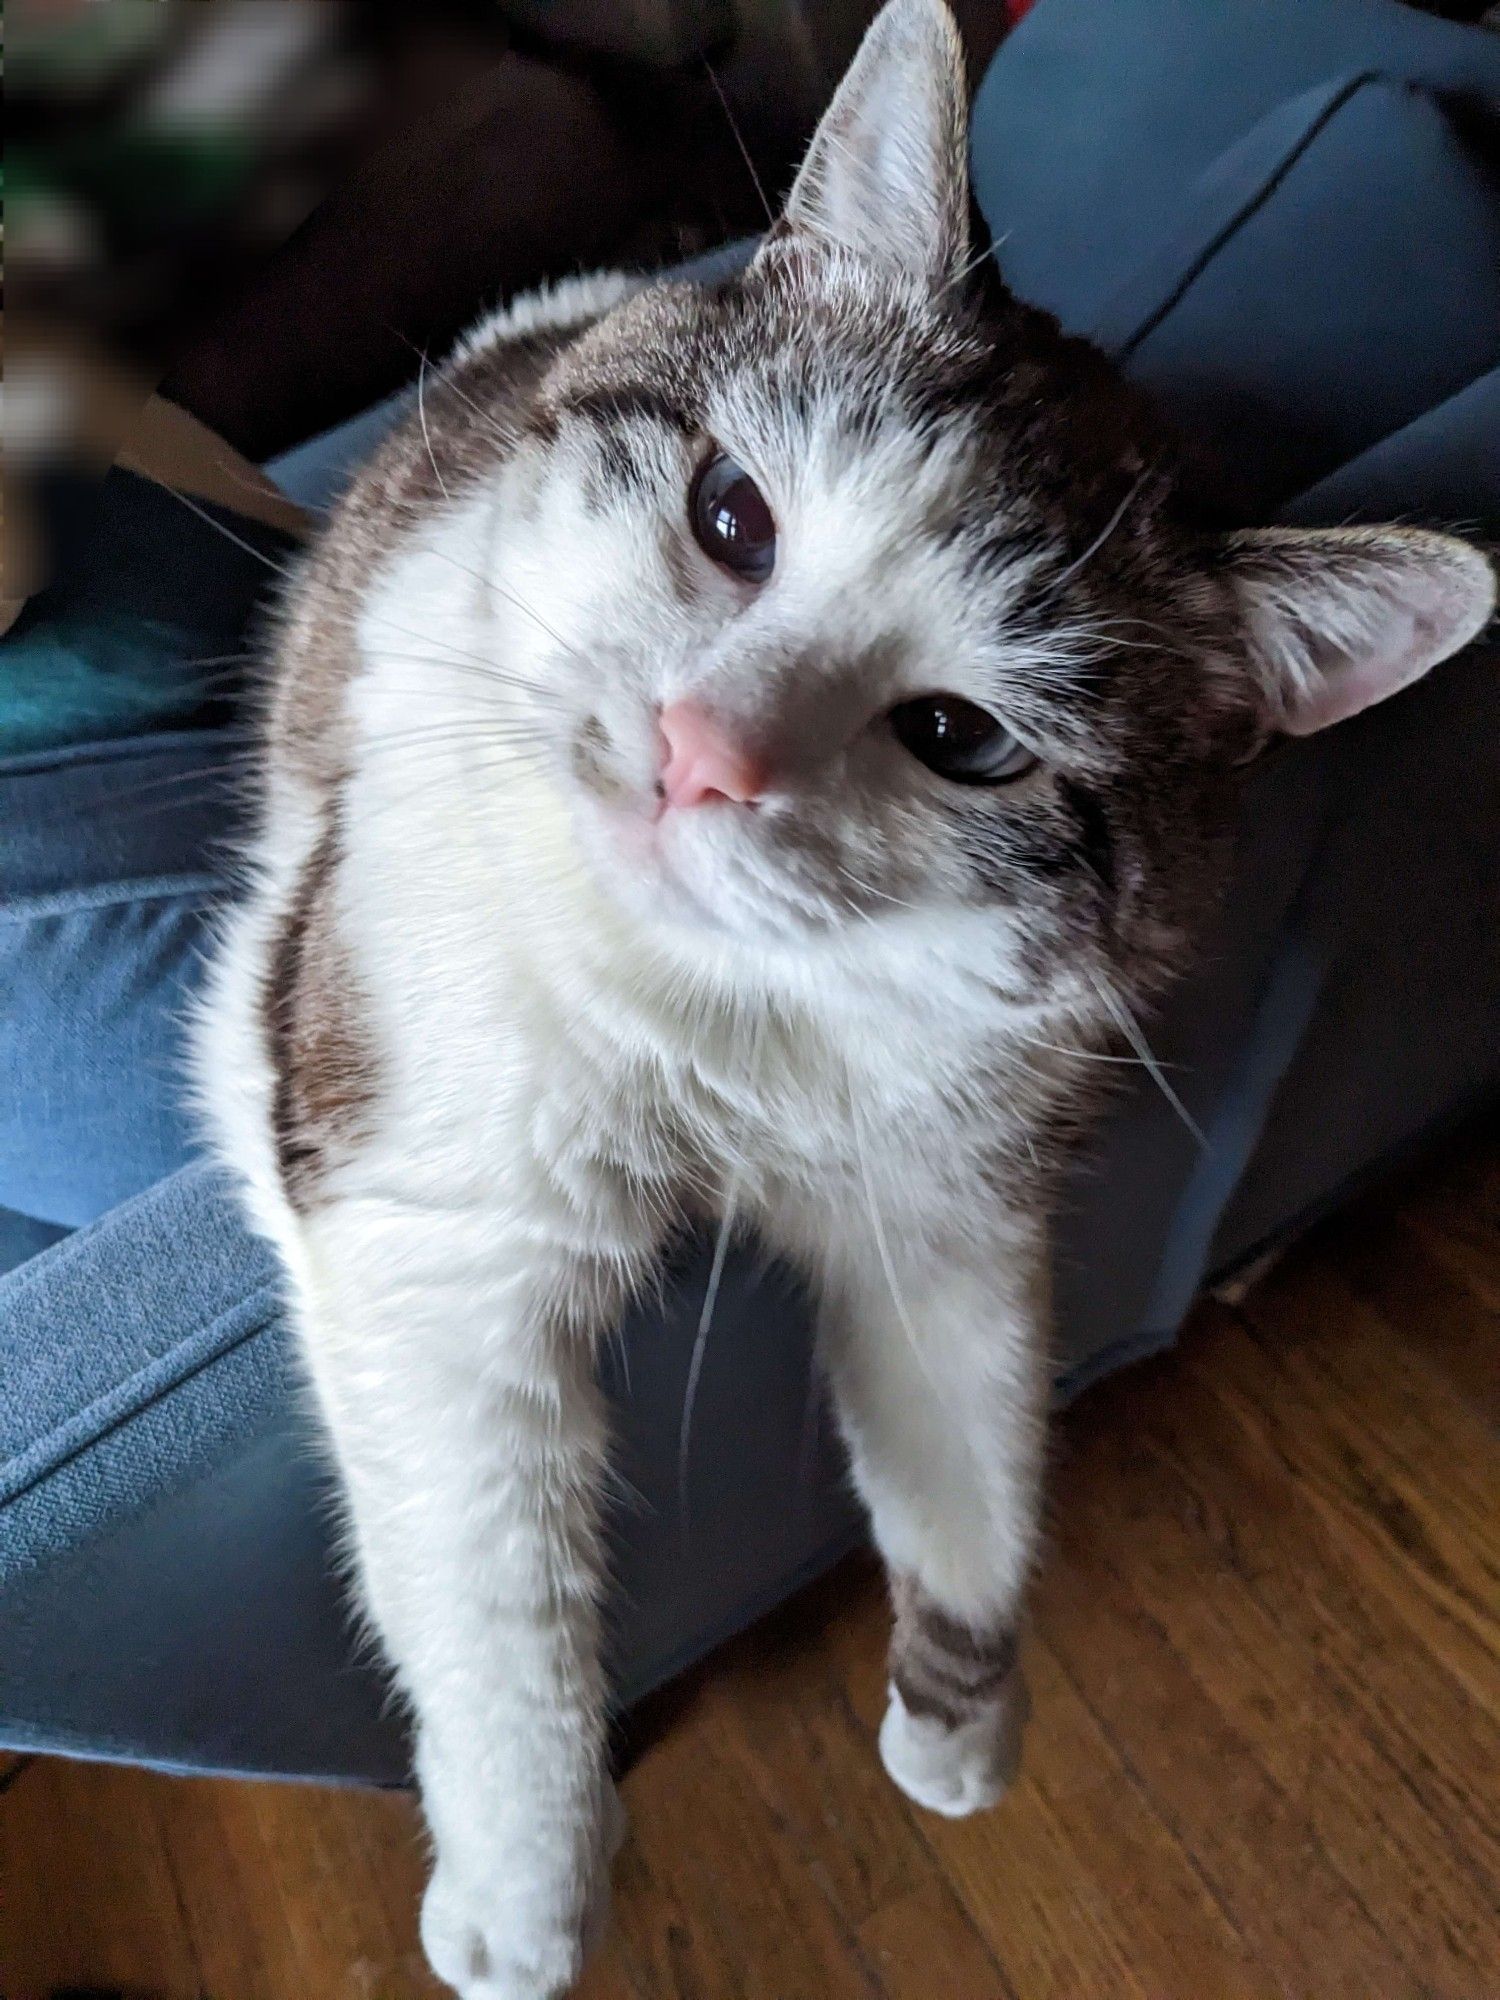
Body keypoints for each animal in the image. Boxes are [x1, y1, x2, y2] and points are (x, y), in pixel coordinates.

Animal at [197, 7, 1496, 1992]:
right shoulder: (431, 1207)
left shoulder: (954, 1192)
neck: (738, 1014)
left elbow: (977, 1441)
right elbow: (490, 1582)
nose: (699, 755)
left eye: (961, 737)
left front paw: (963, 1720)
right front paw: (524, 1888)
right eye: (733, 515)